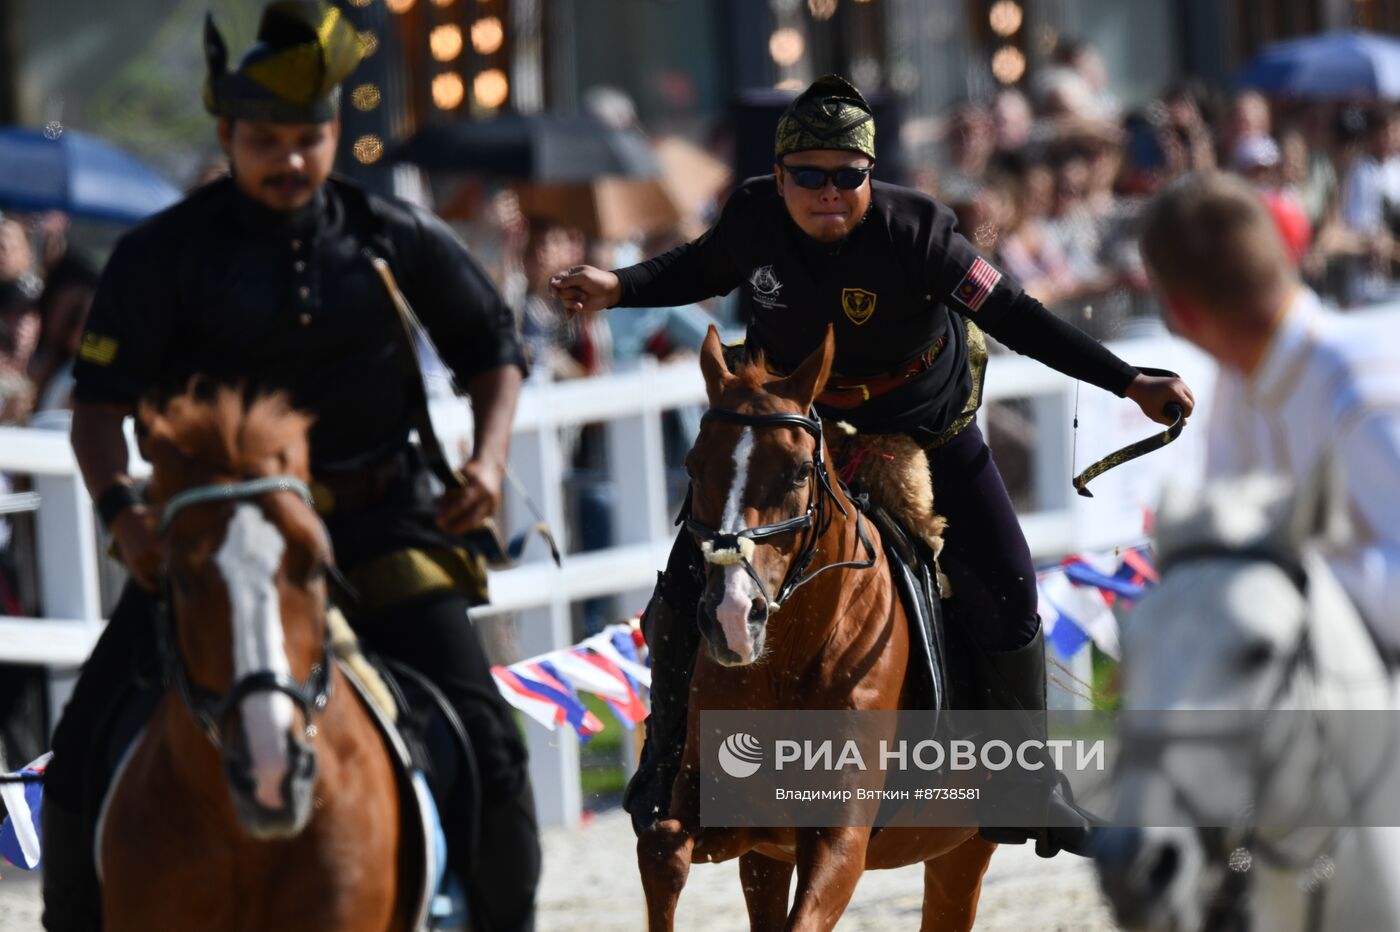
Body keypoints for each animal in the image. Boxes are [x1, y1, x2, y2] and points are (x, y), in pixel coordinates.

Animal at [641, 323, 1002, 923]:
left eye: (794, 475)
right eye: (692, 468)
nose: (731, 617)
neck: (787, 660)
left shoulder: (839, 842)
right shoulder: (736, 822)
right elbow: (662, 849)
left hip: (964, 850)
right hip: (768, 860)